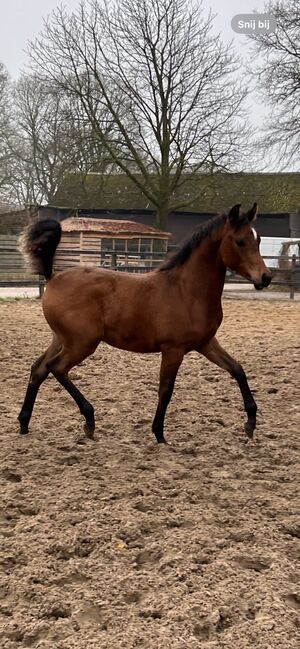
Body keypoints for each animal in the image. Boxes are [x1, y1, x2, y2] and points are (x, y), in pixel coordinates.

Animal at [18, 205, 272, 442]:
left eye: (258, 240)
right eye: (240, 241)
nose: (266, 277)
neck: (186, 291)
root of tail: (53, 278)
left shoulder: (206, 343)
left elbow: (237, 370)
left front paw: (250, 423)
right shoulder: (173, 350)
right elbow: (166, 391)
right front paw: (159, 434)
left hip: (62, 339)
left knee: (39, 369)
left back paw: (24, 423)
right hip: (82, 343)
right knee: (56, 367)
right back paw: (89, 420)